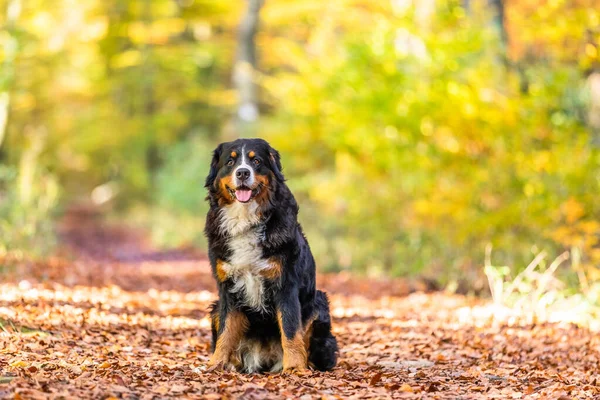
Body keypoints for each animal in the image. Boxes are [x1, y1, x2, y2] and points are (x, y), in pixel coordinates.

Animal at [205, 139, 338, 374]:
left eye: (256, 161)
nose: (242, 172)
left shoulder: (285, 284)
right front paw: (216, 363)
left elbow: (290, 329)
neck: (246, 219)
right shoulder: (227, 288)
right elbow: (226, 331)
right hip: (214, 308)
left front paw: (294, 367)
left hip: (319, 303)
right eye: (230, 162)